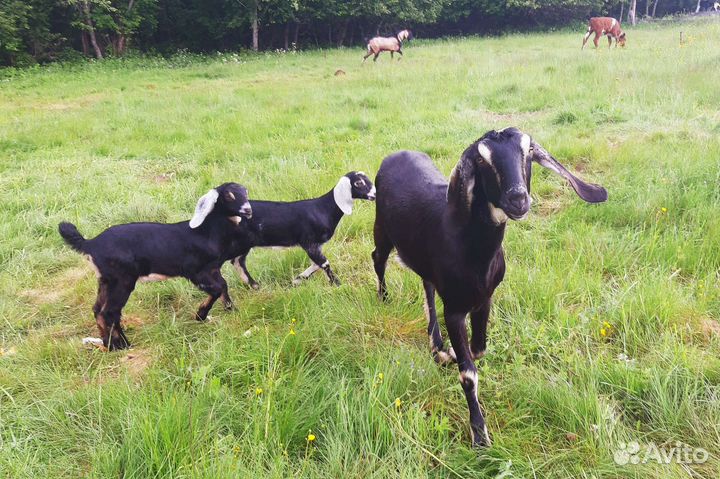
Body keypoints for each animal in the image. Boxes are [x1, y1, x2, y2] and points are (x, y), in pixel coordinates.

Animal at [58, 183, 253, 350]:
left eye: (246, 192)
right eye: (228, 195)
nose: (248, 210)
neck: (206, 232)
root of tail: (90, 243)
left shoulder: (213, 269)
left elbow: (223, 286)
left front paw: (231, 310)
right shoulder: (196, 272)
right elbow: (218, 289)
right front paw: (201, 315)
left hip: (106, 280)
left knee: (98, 310)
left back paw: (109, 344)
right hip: (122, 279)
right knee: (110, 312)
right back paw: (123, 345)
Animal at [229, 172, 375, 288]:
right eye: (358, 183)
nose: (374, 195)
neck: (323, 209)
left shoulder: (316, 245)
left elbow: (316, 264)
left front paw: (298, 279)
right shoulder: (309, 242)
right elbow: (324, 263)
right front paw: (338, 284)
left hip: (243, 244)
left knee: (237, 262)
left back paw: (254, 285)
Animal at [371, 128, 608, 446]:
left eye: (528, 151)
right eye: (482, 160)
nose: (518, 198)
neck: (474, 252)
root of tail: (395, 155)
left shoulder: (485, 299)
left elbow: (479, 349)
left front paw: (453, 353)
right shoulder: (455, 309)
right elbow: (469, 374)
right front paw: (480, 435)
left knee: (427, 284)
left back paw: (437, 344)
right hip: (382, 228)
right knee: (378, 257)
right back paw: (384, 297)